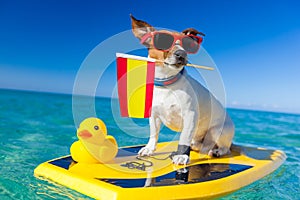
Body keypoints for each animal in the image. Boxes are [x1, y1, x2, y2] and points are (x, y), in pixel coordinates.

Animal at [130, 15, 233, 164]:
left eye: (187, 45)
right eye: (163, 41)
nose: (181, 54)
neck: (166, 84)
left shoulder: (190, 115)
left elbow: (184, 137)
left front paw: (182, 155)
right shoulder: (154, 115)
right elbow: (154, 134)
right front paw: (149, 149)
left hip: (217, 131)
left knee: (225, 148)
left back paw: (217, 151)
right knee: (200, 144)